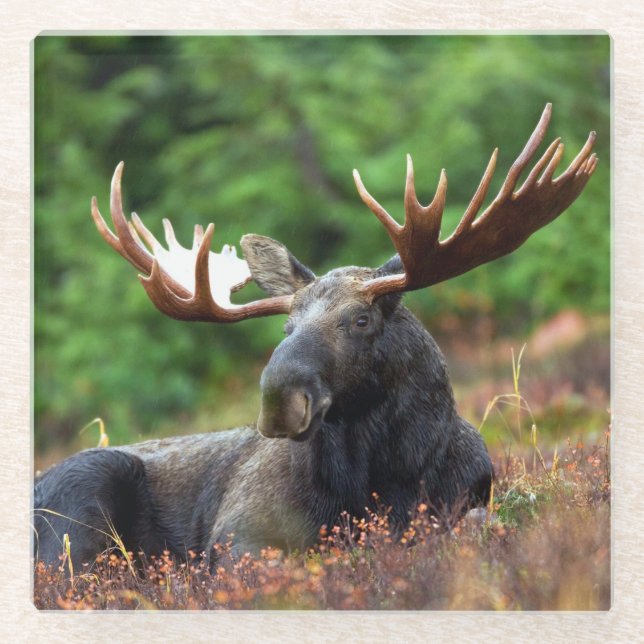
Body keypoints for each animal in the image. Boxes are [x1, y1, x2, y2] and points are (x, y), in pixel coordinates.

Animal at [33, 104, 597, 568]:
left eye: (361, 320)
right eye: (287, 325)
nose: (278, 400)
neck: (384, 480)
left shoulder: (470, 500)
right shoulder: (237, 532)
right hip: (80, 504)